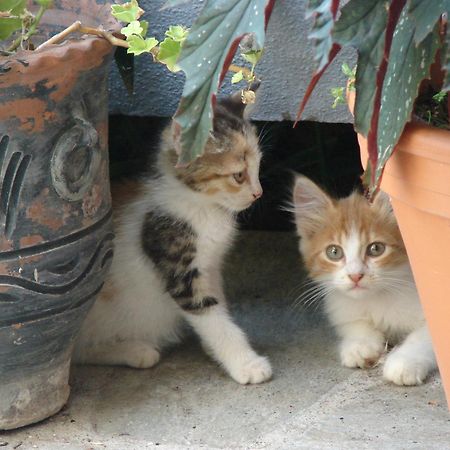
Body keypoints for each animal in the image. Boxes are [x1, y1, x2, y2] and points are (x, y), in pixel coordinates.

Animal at [74, 94, 272, 384]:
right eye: (238, 175)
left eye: (258, 166)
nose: (259, 193)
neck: (202, 205)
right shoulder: (180, 270)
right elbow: (212, 319)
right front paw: (246, 363)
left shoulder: (210, 266)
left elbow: (219, 303)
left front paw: (214, 350)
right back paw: (135, 350)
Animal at [292, 178, 436, 384]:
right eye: (334, 252)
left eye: (376, 249)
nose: (355, 275)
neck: (378, 298)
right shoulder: (343, 308)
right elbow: (355, 324)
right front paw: (359, 345)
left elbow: (424, 337)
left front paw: (404, 362)